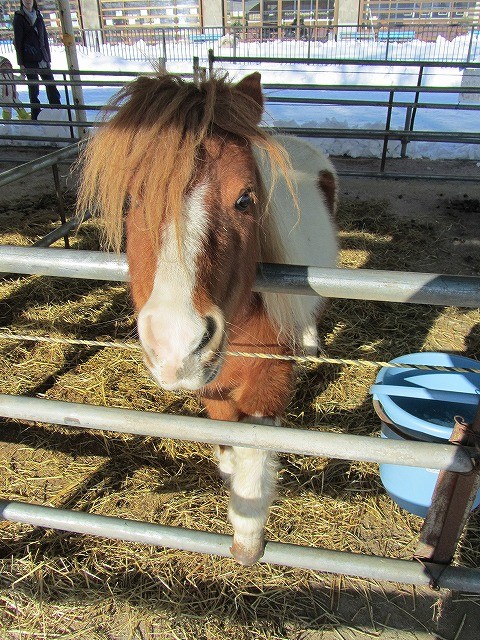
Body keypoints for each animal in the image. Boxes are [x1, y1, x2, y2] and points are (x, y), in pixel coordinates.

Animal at [78, 71, 338, 564]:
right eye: (132, 200)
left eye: (245, 198)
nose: (175, 343)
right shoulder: (214, 386)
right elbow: (227, 440)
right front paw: (230, 473)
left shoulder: (269, 379)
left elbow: (256, 451)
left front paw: (249, 538)